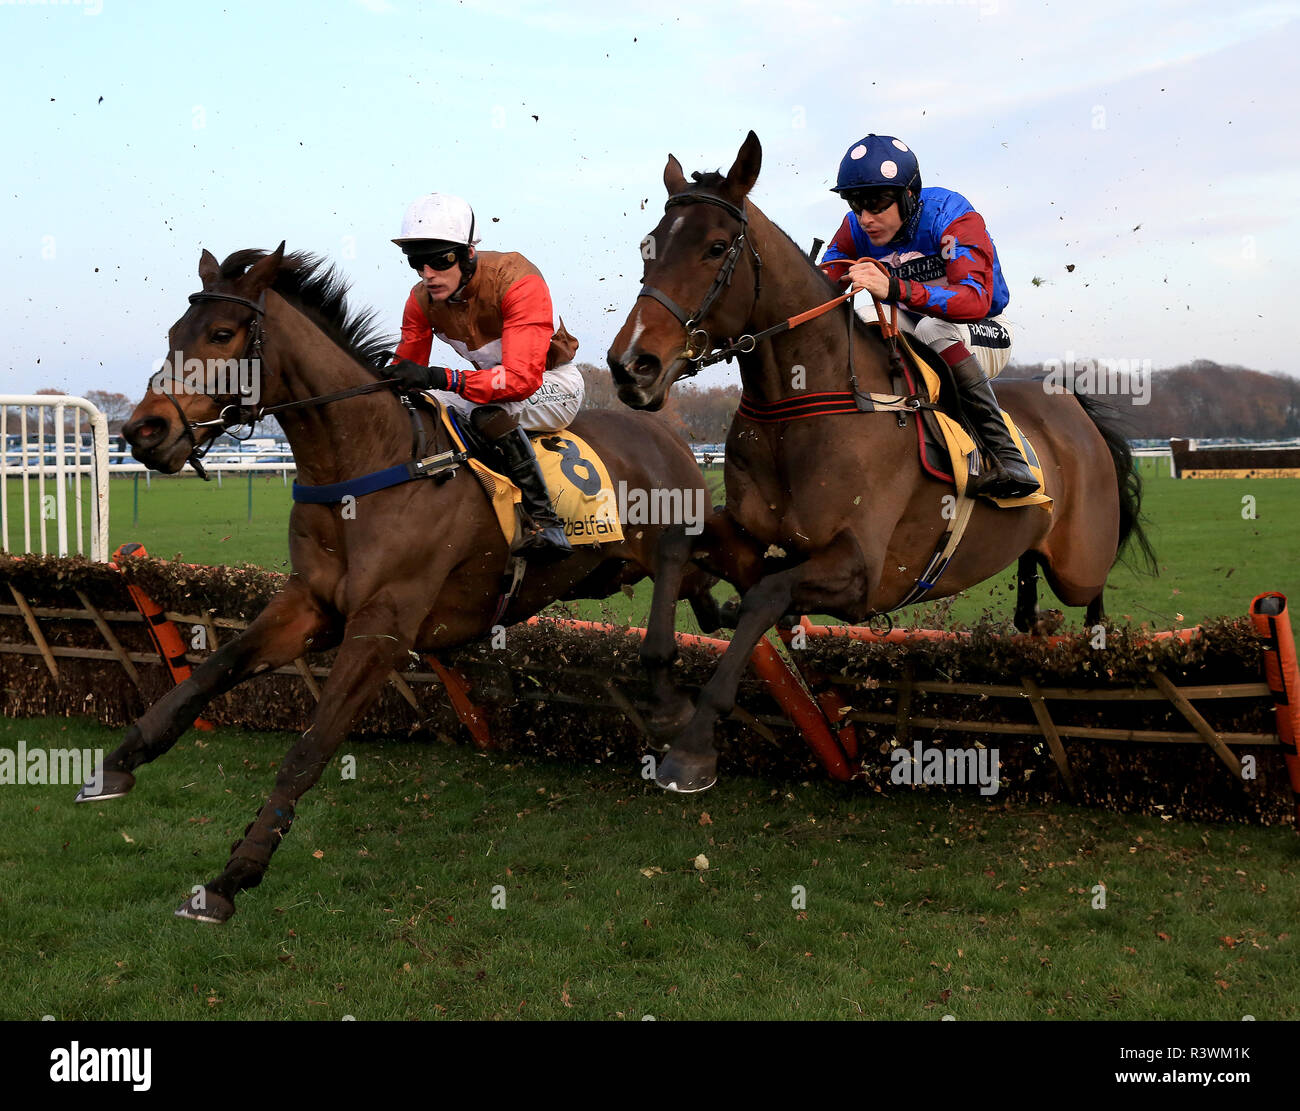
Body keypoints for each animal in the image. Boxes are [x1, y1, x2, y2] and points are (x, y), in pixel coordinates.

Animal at [83, 244, 717, 922]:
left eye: (222, 335)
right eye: (174, 335)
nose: (143, 432)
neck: (366, 463)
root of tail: (665, 431)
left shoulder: (382, 629)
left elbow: (311, 745)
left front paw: (235, 875)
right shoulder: (311, 604)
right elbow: (210, 671)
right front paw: (117, 765)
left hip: (665, 536)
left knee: (680, 586)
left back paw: (676, 709)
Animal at [607, 131, 1155, 794]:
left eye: (715, 247)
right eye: (649, 246)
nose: (631, 366)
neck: (803, 405)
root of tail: (1072, 402)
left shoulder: (860, 570)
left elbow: (766, 596)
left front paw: (691, 747)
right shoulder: (753, 535)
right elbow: (676, 545)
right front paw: (664, 699)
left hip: (1079, 562)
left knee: (1093, 598)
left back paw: (1096, 653)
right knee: (1031, 581)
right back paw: (1034, 624)